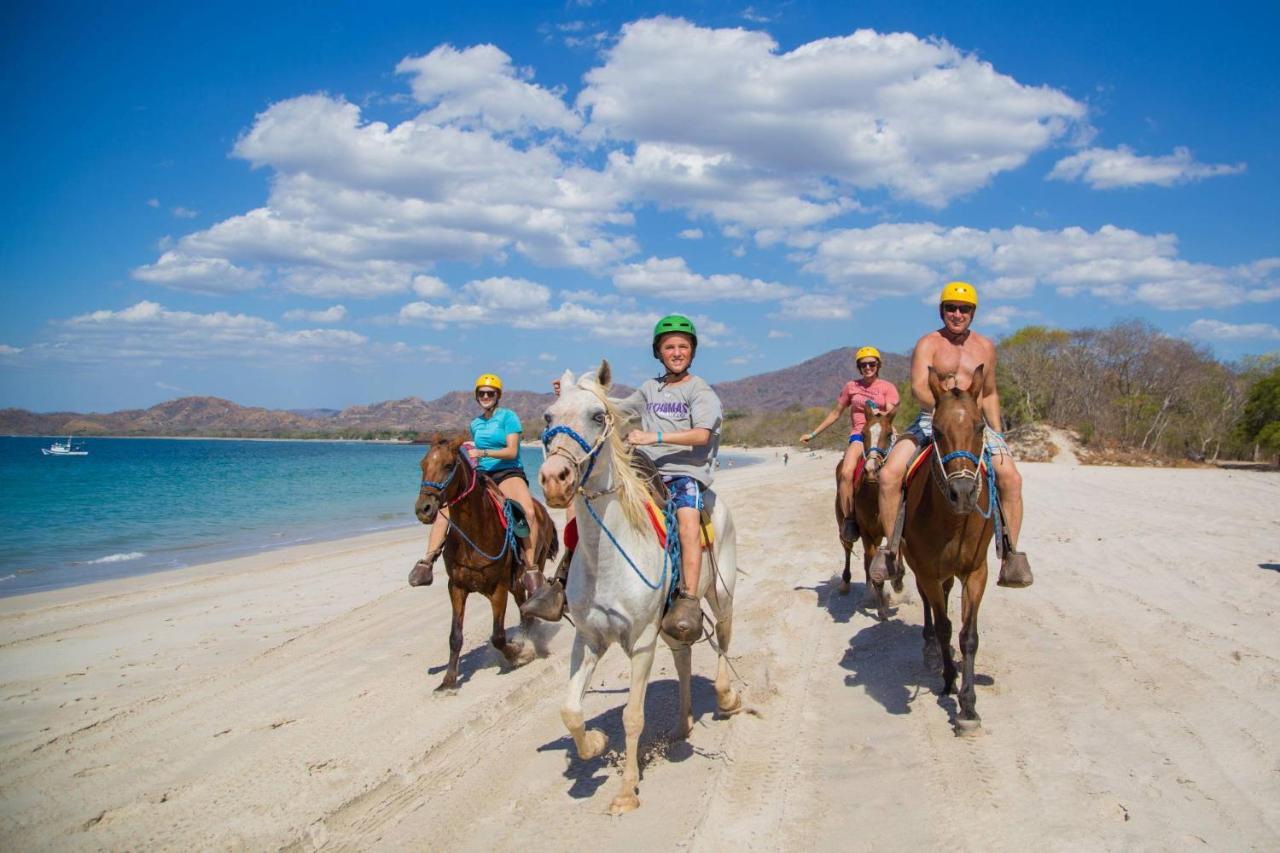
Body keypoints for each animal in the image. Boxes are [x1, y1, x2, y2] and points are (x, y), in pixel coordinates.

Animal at [404, 435, 555, 686]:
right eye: (422, 465)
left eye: (448, 465)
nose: (423, 509)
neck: (474, 531)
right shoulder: (457, 587)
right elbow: (455, 636)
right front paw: (448, 681)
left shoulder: (498, 588)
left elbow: (498, 636)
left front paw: (518, 654)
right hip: (515, 582)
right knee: (523, 607)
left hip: (531, 567)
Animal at [537, 358, 742, 809]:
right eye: (548, 417)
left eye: (598, 416)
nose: (555, 478)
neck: (608, 559)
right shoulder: (588, 639)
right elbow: (570, 710)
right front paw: (595, 744)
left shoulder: (643, 642)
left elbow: (633, 716)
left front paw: (627, 790)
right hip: (671, 624)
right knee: (683, 657)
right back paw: (683, 724)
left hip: (720, 595)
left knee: (722, 639)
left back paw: (726, 697)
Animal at [834, 407, 906, 617]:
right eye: (864, 434)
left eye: (889, 434)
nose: (871, 470)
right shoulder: (866, 532)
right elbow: (873, 562)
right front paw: (881, 607)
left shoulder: (894, 527)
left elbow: (897, 551)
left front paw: (898, 582)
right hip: (846, 527)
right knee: (849, 550)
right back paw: (848, 583)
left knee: (867, 559)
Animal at [896, 366, 993, 732]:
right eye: (937, 430)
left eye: (980, 427)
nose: (962, 493)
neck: (953, 521)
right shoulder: (926, 569)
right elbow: (944, 626)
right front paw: (949, 680)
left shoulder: (976, 572)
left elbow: (968, 635)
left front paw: (968, 707)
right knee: (928, 605)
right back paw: (932, 650)